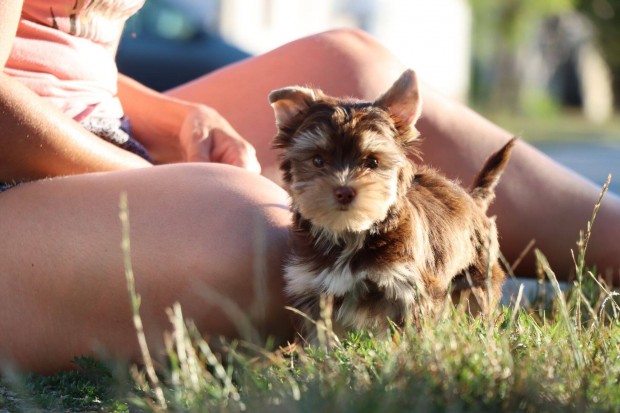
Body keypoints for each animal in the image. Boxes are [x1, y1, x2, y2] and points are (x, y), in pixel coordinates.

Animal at [268, 70, 512, 342]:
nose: (344, 191)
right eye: (318, 160)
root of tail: (472, 198)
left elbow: (412, 329)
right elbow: (322, 336)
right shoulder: (315, 289)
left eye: (373, 162)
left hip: (478, 272)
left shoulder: (408, 286)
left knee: (477, 303)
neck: (351, 235)